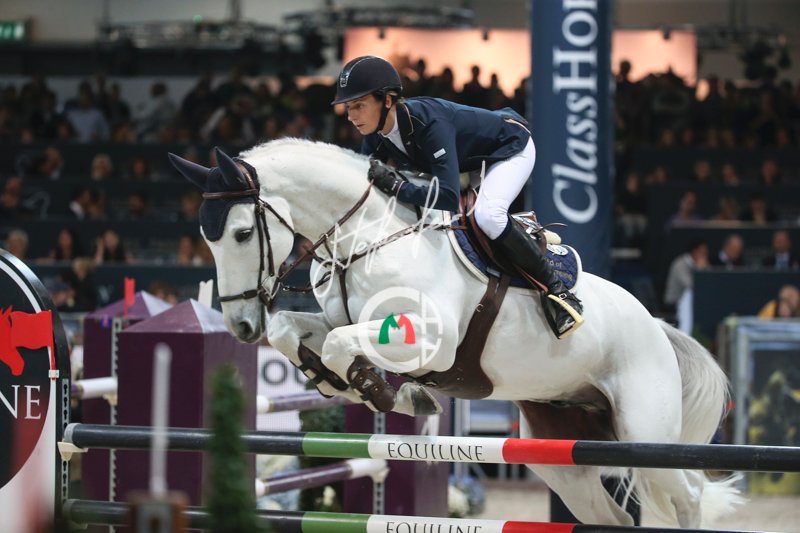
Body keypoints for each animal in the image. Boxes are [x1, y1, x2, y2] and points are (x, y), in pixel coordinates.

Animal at [169, 139, 741, 528]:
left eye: (243, 233)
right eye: (207, 238)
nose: (242, 326)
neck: (366, 237)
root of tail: (658, 327)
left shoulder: (431, 342)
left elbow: (337, 343)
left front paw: (384, 392)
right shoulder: (339, 319)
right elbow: (298, 332)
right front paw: (348, 383)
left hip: (646, 429)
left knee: (688, 493)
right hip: (563, 451)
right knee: (611, 516)